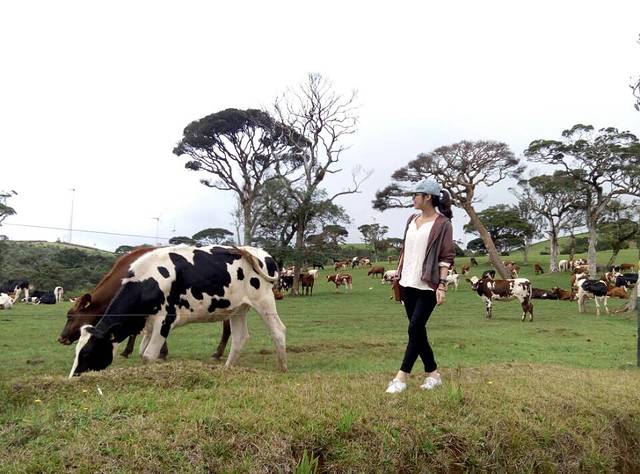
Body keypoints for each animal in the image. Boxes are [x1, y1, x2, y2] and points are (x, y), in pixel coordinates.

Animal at [69, 245, 286, 377]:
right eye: (77, 352)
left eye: (87, 353)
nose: (74, 377)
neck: (148, 280)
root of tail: (262, 253)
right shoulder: (148, 324)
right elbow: (142, 352)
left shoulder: (165, 321)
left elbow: (148, 355)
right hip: (238, 308)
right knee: (240, 337)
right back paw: (227, 369)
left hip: (264, 300)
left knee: (278, 331)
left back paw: (282, 368)